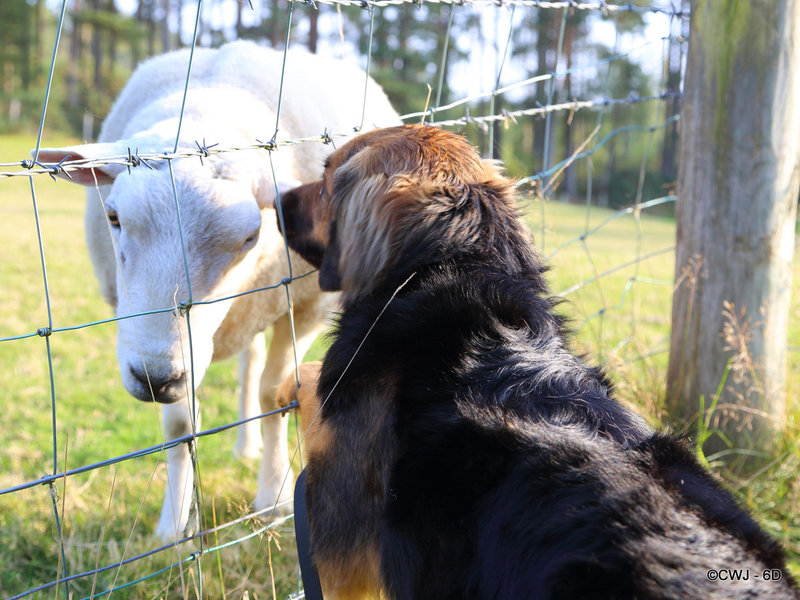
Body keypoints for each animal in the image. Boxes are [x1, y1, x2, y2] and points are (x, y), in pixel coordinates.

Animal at [37, 41, 400, 540]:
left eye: (250, 237)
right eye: (113, 218)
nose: (155, 378)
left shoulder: (308, 308)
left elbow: (274, 395)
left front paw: (274, 499)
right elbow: (180, 423)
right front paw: (174, 525)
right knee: (248, 363)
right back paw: (244, 447)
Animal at [276, 124, 792, 596]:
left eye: (326, 180)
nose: (277, 199)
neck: (461, 265)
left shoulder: (342, 551)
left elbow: (309, 386)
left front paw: (289, 385)